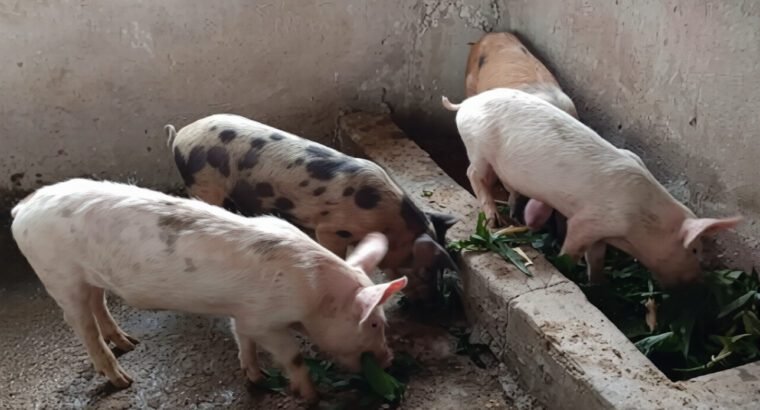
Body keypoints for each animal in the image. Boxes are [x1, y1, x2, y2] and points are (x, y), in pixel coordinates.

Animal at [11, 178, 408, 402]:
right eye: (376, 323)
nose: (390, 360)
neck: (313, 292)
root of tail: (23, 208)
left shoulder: (244, 314)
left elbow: (243, 340)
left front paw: (255, 377)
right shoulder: (265, 319)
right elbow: (292, 355)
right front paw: (311, 396)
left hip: (87, 276)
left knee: (98, 304)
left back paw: (129, 343)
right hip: (58, 275)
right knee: (82, 327)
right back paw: (123, 380)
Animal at [165, 114, 459, 302]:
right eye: (425, 270)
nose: (433, 303)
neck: (388, 222)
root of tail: (180, 136)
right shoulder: (332, 228)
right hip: (204, 184)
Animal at [441, 88, 741, 287]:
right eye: (695, 250)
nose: (699, 282)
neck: (638, 222)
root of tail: (467, 103)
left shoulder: (601, 233)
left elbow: (596, 260)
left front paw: (599, 286)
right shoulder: (588, 220)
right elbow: (572, 249)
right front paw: (565, 268)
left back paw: (513, 215)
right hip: (478, 148)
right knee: (474, 174)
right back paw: (495, 220)